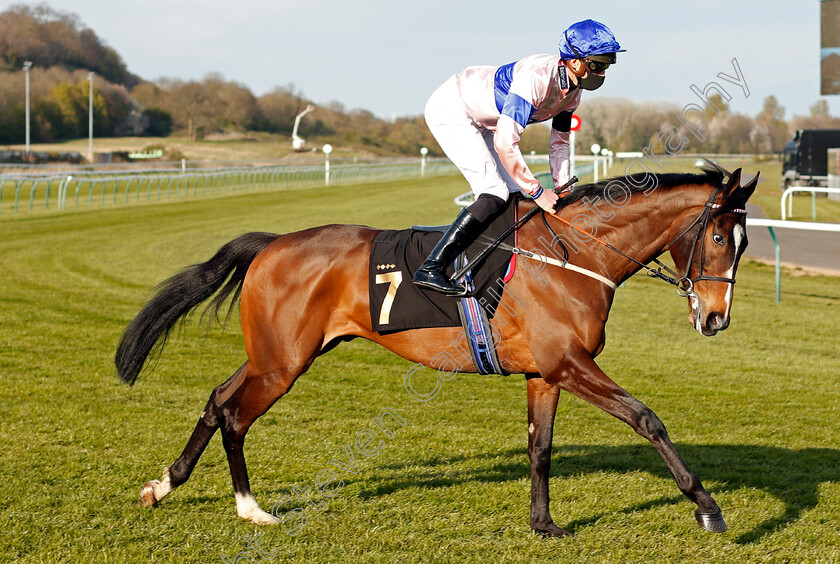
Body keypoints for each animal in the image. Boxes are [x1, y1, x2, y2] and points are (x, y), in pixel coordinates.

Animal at [115, 164, 756, 536]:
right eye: (718, 237)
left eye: (745, 243)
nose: (716, 318)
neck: (573, 253)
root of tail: (273, 243)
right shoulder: (571, 363)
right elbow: (648, 419)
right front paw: (707, 506)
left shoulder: (546, 373)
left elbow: (540, 448)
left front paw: (543, 523)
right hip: (282, 363)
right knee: (235, 415)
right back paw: (249, 507)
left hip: (273, 355)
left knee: (217, 399)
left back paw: (163, 485)